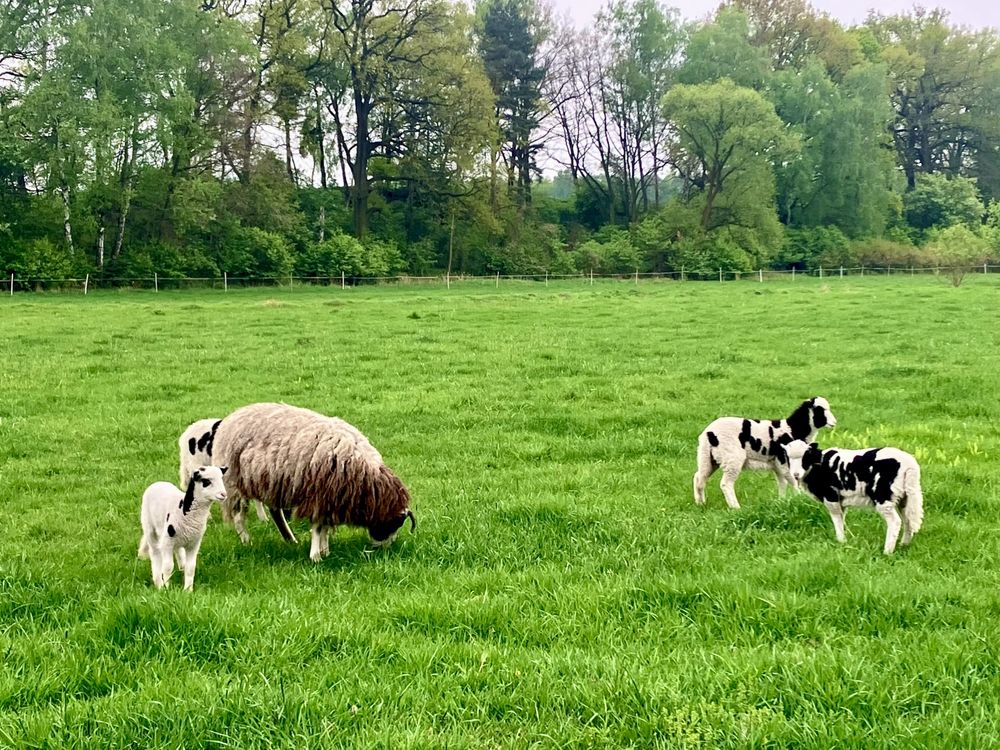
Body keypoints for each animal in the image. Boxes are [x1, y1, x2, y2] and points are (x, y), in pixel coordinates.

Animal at [139, 464, 229, 592]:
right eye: (206, 481)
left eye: (222, 478)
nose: (223, 494)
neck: (184, 510)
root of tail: (157, 483)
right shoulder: (167, 542)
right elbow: (168, 566)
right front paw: (166, 588)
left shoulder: (194, 543)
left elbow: (191, 567)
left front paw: (188, 590)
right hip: (149, 527)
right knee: (155, 553)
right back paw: (158, 581)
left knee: (178, 550)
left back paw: (181, 567)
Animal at [211, 402, 414, 560]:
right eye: (395, 523)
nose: (384, 548)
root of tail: (233, 416)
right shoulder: (320, 496)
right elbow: (318, 527)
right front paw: (316, 556)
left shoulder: (329, 500)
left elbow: (324, 527)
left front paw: (325, 550)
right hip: (235, 483)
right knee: (239, 516)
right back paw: (247, 541)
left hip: (273, 482)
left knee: (275, 512)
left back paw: (290, 539)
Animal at [692, 400, 840, 512]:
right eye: (820, 410)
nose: (834, 422)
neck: (794, 429)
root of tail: (709, 433)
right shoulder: (784, 460)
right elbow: (793, 481)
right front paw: (801, 500)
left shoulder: (777, 464)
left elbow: (782, 482)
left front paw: (782, 501)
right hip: (732, 457)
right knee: (726, 484)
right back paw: (736, 507)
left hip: (707, 457)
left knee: (699, 477)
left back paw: (701, 503)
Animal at [784, 438, 924, 556]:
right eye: (788, 458)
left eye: (805, 457)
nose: (795, 474)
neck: (817, 466)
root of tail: (909, 465)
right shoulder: (840, 499)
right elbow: (842, 518)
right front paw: (844, 541)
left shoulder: (831, 496)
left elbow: (836, 518)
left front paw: (841, 541)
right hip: (905, 496)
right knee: (908, 519)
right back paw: (904, 545)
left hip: (883, 496)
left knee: (895, 522)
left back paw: (887, 552)